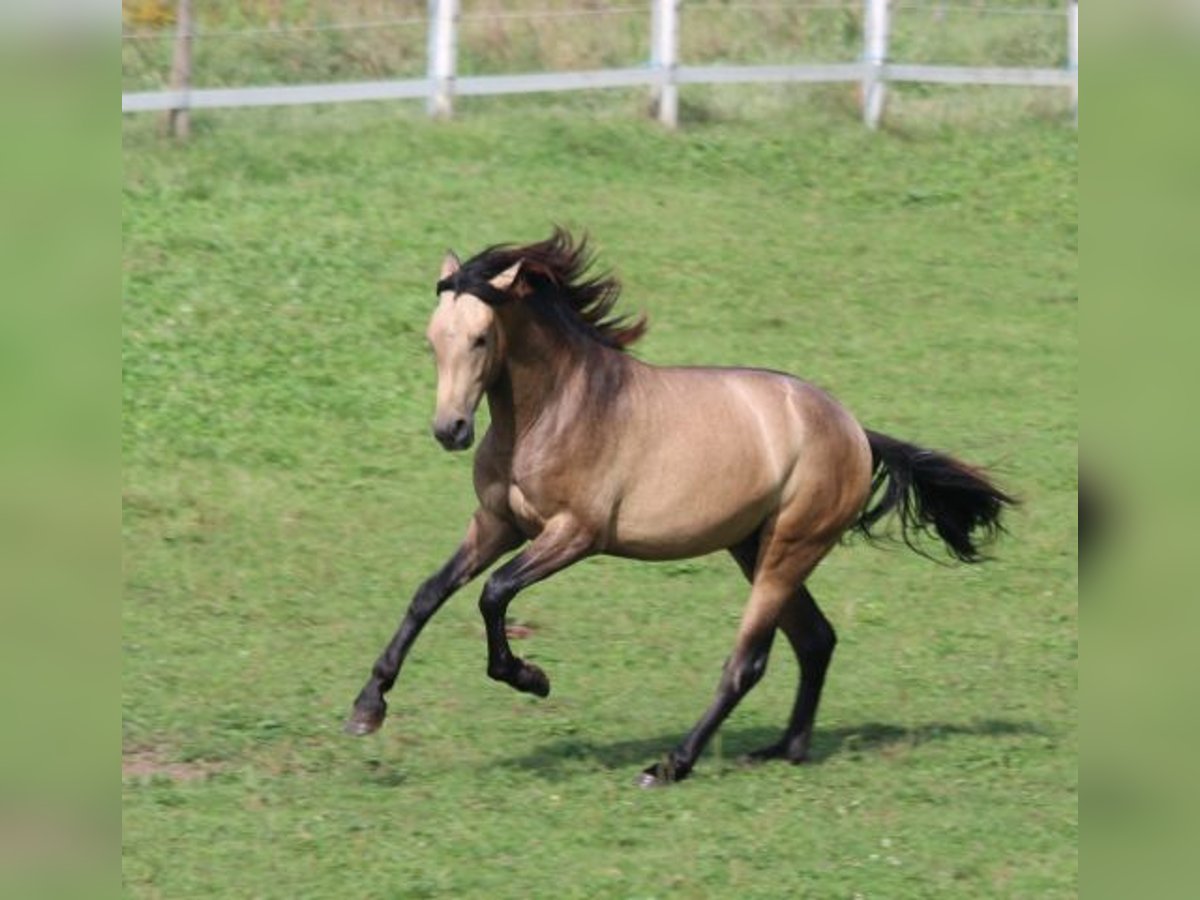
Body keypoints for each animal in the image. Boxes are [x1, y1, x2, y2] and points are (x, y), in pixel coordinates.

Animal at [348, 229, 1012, 787]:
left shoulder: (575, 534)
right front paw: (367, 708)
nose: (451, 430)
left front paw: (530, 678)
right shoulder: (497, 524)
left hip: (788, 551)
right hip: (754, 546)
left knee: (749, 661)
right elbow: (429, 594)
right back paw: (784, 750)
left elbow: (493, 594)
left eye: (481, 338)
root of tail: (854, 433)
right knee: (816, 639)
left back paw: (671, 765)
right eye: (432, 340)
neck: (556, 411)